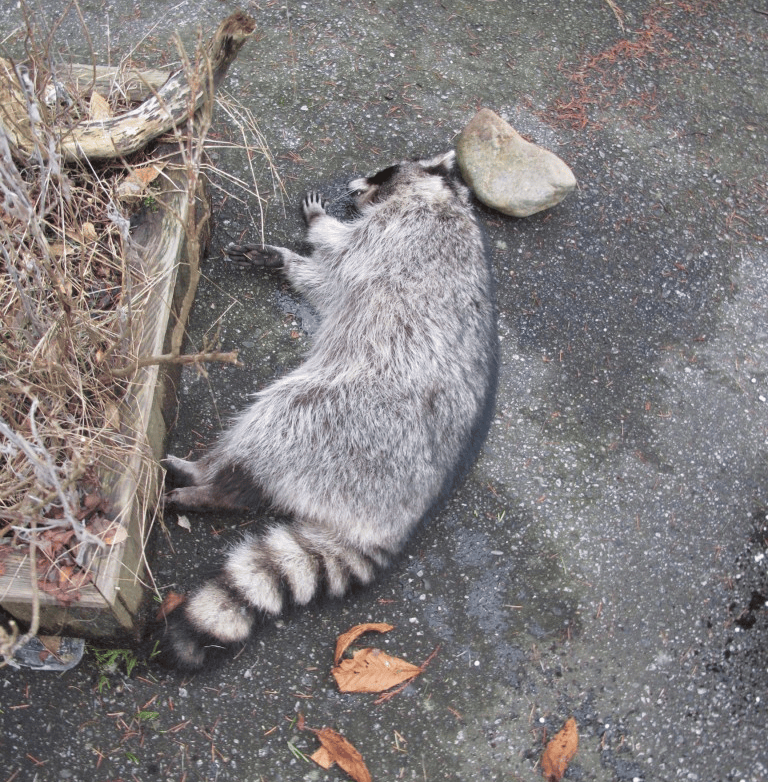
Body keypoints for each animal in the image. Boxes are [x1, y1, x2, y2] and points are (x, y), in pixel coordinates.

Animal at [160, 152, 498, 672]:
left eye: (382, 172)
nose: (354, 186)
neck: (446, 197)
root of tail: (396, 519)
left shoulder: (392, 234)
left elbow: (335, 263)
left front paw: (316, 229)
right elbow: (326, 286)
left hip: (342, 421)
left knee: (276, 419)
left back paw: (211, 480)